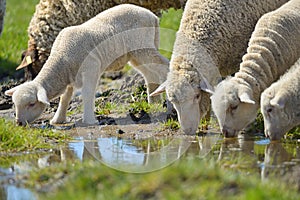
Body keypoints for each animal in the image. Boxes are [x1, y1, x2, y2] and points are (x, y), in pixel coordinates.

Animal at [4, 3, 169, 126]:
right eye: (14, 104)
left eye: (31, 104)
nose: (18, 123)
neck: (61, 59)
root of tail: (152, 16)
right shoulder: (69, 77)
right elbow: (65, 98)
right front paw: (58, 119)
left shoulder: (91, 69)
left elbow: (87, 94)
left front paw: (90, 120)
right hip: (136, 53)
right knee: (149, 74)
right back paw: (153, 103)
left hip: (142, 47)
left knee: (164, 67)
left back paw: (168, 103)